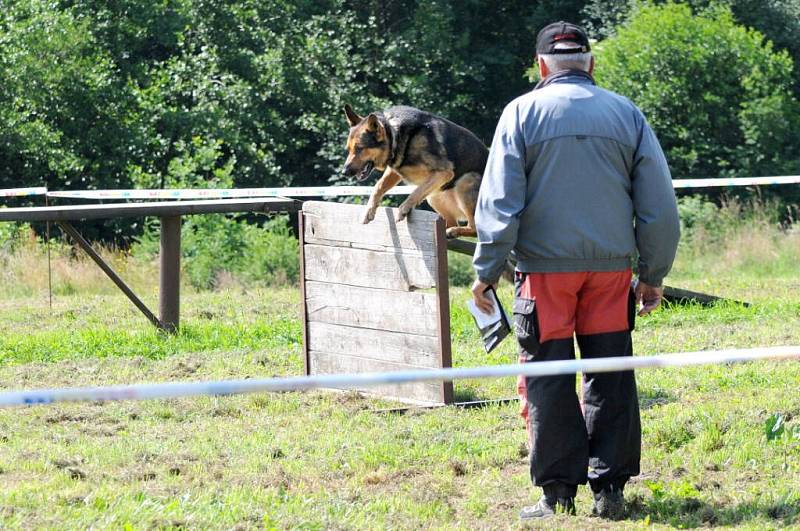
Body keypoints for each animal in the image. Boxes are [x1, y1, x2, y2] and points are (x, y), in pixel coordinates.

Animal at [340, 105, 484, 238]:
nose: (344, 172)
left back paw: (454, 231)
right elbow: (378, 186)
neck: (394, 135)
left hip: (465, 182)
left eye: (360, 148)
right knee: (452, 222)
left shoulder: (444, 172)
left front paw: (403, 208)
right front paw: (369, 211)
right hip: (434, 196)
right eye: (349, 149)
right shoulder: (394, 169)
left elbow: (416, 191)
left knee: (474, 229)